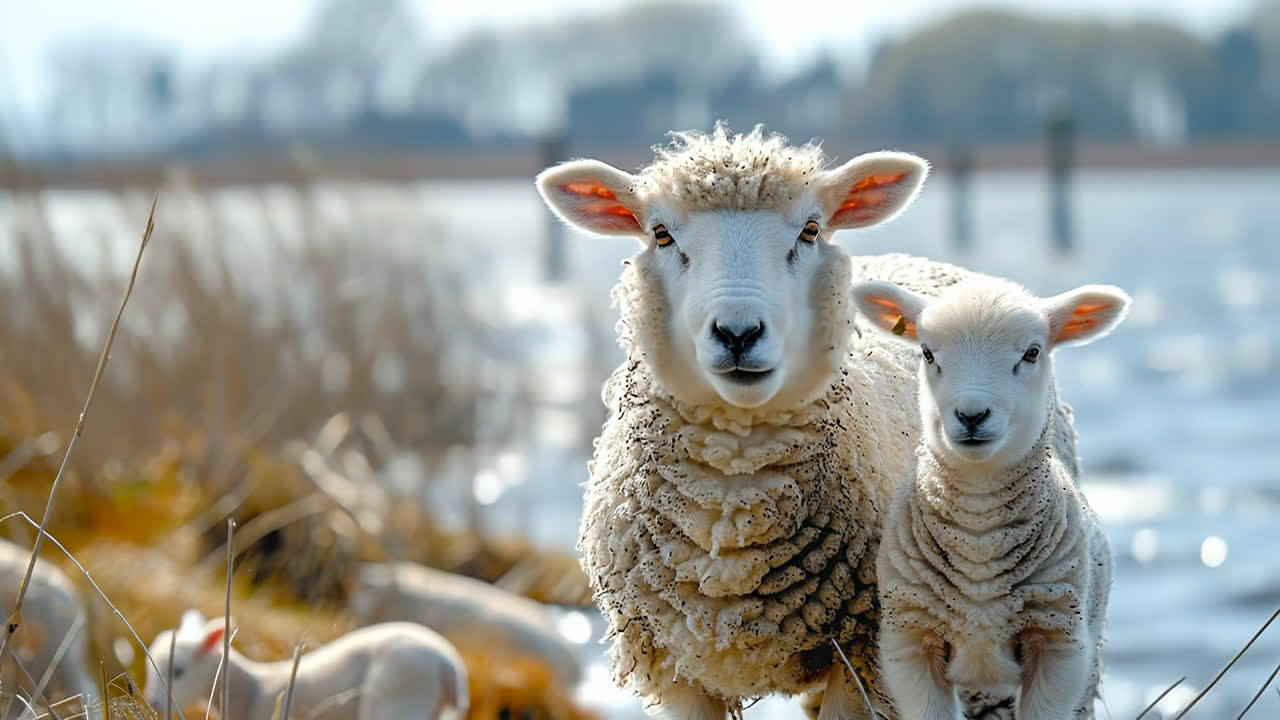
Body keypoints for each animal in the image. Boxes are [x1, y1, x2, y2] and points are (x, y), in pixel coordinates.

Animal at [535, 123, 1082, 719]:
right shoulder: (675, 666)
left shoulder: (865, 656)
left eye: (811, 229)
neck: (735, 492)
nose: (738, 333)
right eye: (660, 234)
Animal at [850, 277, 1126, 720]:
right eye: (927, 353)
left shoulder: (1059, 643)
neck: (979, 535)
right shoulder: (909, 641)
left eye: (1032, 352)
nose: (972, 415)